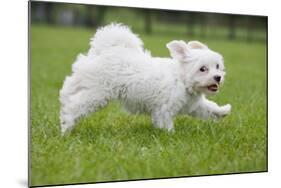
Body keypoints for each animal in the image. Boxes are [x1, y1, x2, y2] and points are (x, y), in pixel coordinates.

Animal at [58, 23, 230, 135]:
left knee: (68, 88)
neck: (182, 80)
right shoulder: (164, 109)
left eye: (217, 66)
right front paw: (171, 136)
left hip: (86, 81)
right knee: (75, 105)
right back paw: (66, 126)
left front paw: (223, 111)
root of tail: (107, 49)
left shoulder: (194, 106)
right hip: (98, 92)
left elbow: (209, 108)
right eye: (203, 69)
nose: (218, 77)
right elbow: (166, 123)